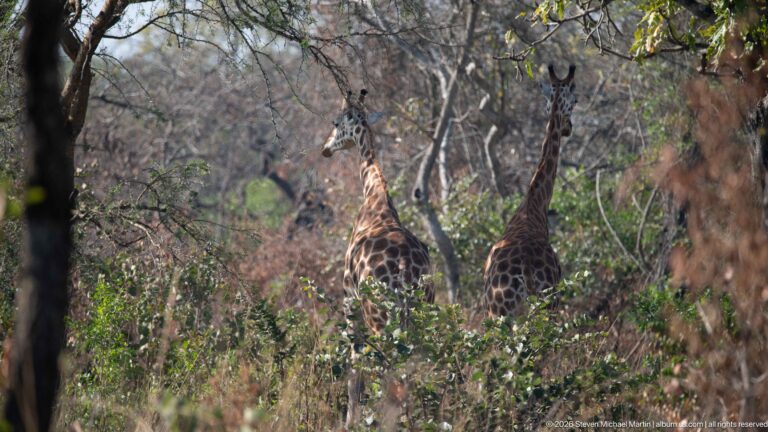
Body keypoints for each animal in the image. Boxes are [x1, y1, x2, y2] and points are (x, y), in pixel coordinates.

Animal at [320, 89, 433, 426]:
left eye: (336, 122)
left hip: (379, 318)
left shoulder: (348, 297)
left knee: (389, 370)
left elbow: (354, 366)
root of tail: (405, 270)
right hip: (420, 313)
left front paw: (350, 422)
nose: (325, 149)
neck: (376, 199)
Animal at [483, 64, 577, 317]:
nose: (568, 128)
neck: (533, 203)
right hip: (542, 307)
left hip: (502, 312)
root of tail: (525, 271)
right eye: (575, 101)